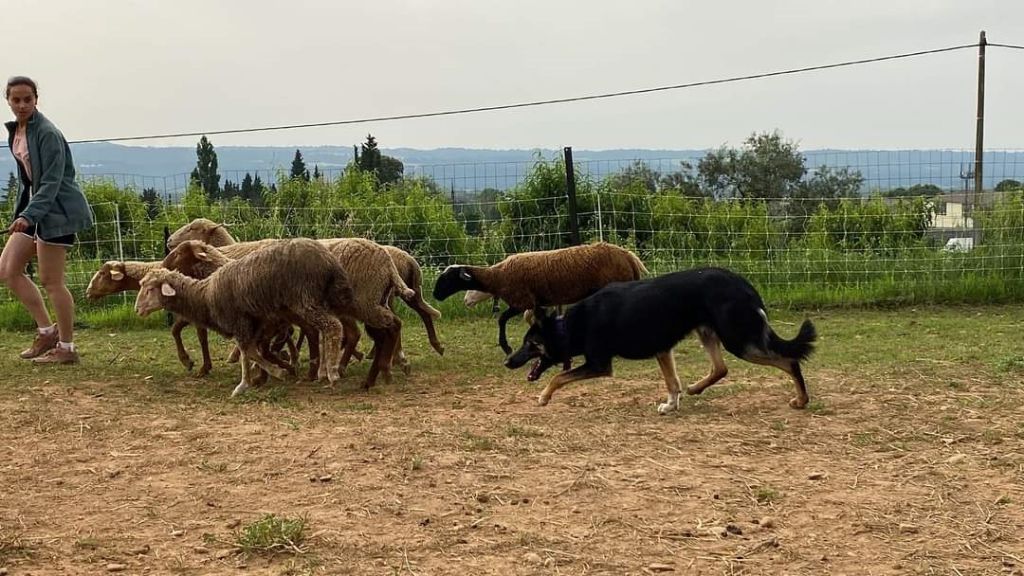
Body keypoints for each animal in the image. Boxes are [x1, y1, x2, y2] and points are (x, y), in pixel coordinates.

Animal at [86, 260, 216, 377]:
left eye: (102, 273)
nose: (87, 292)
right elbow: (176, 331)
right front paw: (189, 361)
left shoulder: (195, 311)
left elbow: (200, 337)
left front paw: (200, 366)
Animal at [133, 236, 356, 393]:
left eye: (149, 289)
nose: (137, 309)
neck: (206, 292)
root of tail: (330, 262)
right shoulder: (257, 325)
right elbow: (251, 352)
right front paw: (264, 374)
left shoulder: (242, 323)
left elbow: (248, 351)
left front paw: (252, 380)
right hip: (316, 302)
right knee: (323, 331)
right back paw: (320, 369)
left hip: (305, 300)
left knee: (332, 327)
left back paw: (331, 372)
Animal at [432, 240, 647, 356]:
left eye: (447, 278)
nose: (435, 295)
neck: (498, 276)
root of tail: (629, 257)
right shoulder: (537, 303)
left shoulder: (522, 301)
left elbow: (502, 319)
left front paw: (507, 347)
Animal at [503, 266, 815, 409]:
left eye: (530, 344)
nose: (508, 362)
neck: (568, 327)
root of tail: (744, 285)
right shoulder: (662, 349)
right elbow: (672, 382)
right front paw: (671, 404)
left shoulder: (599, 365)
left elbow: (558, 377)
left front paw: (544, 397)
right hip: (708, 333)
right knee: (720, 368)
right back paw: (696, 388)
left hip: (738, 339)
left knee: (789, 361)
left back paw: (801, 400)